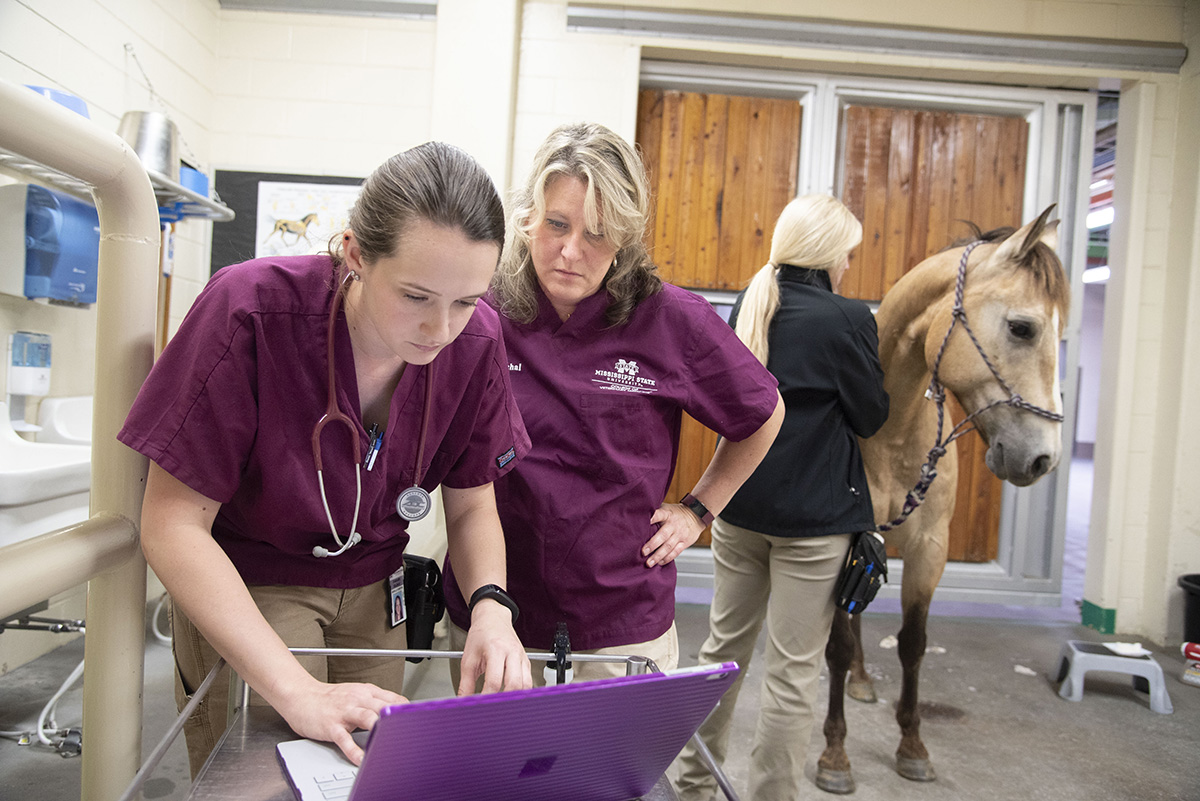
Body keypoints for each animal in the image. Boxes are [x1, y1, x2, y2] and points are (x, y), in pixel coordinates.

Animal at [816, 206, 1070, 796]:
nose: (1043, 458)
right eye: (1022, 327)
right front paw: (835, 754)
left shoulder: (930, 549)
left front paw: (912, 746)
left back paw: (863, 680)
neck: (889, 432)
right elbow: (836, 644)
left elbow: (913, 642)